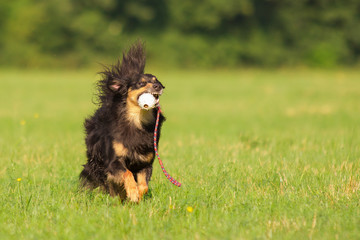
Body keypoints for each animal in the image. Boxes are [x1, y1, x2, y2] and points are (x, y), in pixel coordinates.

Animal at [79, 41, 165, 202]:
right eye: (140, 83)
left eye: (156, 80)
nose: (159, 87)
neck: (137, 121)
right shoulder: (113, 161)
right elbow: (127, 173)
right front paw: (132, 192)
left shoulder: (145, 163)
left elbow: (144, 185)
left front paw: (136, 195)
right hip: (95, 162)